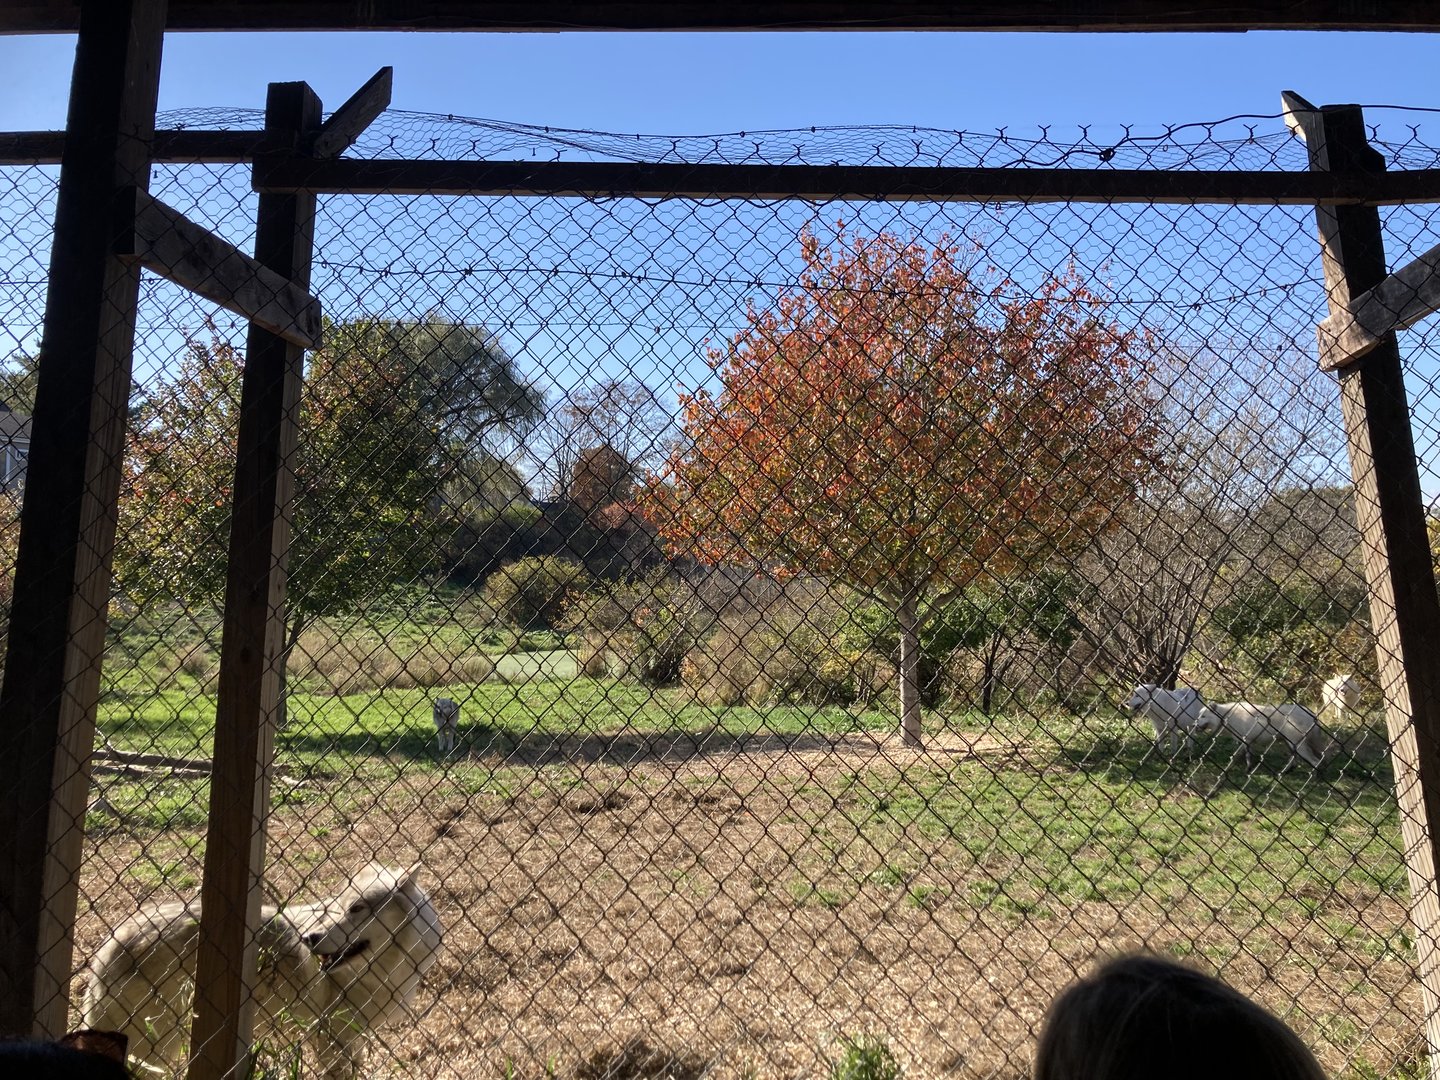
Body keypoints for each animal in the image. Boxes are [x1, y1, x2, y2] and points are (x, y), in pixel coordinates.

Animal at [83, 863, 442, 1079]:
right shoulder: (330, 1037)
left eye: (356, 909)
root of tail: (112, 940)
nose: (309, 938)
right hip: (156, 1044)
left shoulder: (353, 1037)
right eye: (335, 909)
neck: (384, 969)